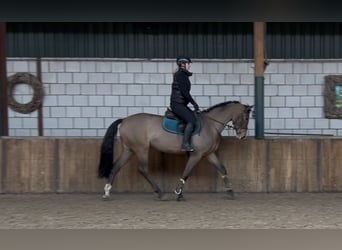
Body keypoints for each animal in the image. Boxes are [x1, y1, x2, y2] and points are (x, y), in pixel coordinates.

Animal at [97, 100, 252, 200]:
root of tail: (124, 120)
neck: (211, 125)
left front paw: (231, 191)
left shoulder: (209, 154)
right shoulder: (197, 155)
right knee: (143, 169)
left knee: (116, 167)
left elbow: (222, 169)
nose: (242, 136)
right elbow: (187, 172)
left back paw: (106, 192)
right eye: (245, 117)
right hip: (141, 149)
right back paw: (160, 193)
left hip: (129, 149)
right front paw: (178, 193)